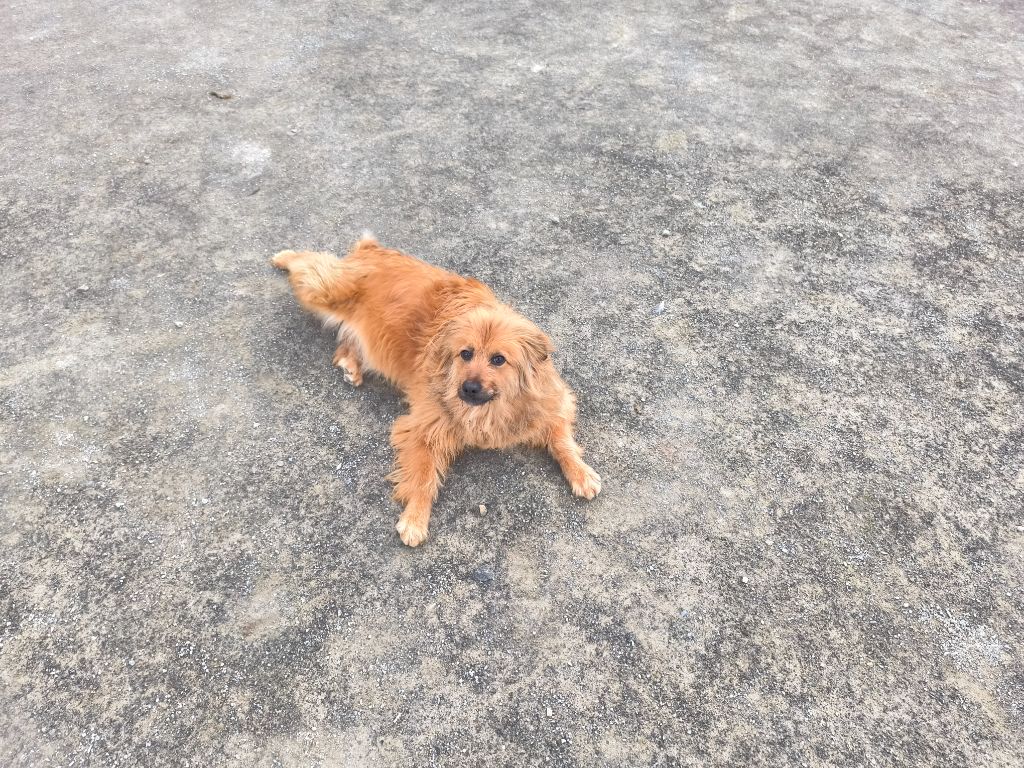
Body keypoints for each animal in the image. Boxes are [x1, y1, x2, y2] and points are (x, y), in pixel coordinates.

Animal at [272, 234, 598, 548]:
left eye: (498, 359)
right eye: (465, 354)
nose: (468, 388)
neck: (490, 409)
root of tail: (373, 249)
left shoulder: (551, 403)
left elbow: (561, 440)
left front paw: (581, 472)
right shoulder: (424, 426)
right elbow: (423, 477)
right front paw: (415, 518)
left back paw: (350, 364)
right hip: (326, 288)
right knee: (310, 264)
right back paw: (284, 255)